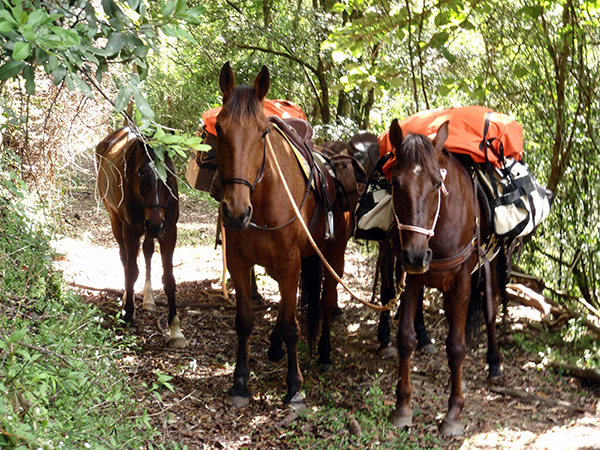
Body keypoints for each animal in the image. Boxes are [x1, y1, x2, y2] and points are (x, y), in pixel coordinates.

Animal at [96, 127, 186, 348]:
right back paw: (127, 299)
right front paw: (128, 316)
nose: (154, 224)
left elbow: (169, 278)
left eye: (169, 173)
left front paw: (175, 330)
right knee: (125, 258)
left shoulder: (169, 232)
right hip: (116, 221)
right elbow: (131, 270)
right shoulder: (131, 231)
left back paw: (148, 299)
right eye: (141, 173)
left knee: (147, 252)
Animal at [216, 62, 354, 408]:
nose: (235, 212)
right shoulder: (240, 262)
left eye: (262, 132)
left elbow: (293, 325)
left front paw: (294, 386)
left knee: (327, 300)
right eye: (219, 130)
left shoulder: (291, 261)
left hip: (333, 255)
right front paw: (240, 382)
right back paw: (275, 345)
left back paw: (324, 352)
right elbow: (244, 322)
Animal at [386, 118, 500, 434]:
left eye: (438, 183)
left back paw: (495, 365)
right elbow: (405, 338)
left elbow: (457, 347)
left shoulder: (461, 282)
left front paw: (453, 413)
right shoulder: (411, 278)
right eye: (394, 182)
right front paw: (403, 406)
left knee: (491, 311)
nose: (416, 255)